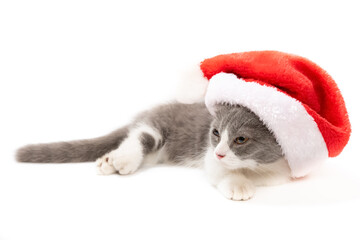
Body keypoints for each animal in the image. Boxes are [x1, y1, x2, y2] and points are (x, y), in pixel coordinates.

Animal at [17, 102, 292, 200]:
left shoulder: (283, 168)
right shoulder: (208, 154)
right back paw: (119, 159)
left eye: (241, 139)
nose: (221, 152)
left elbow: (270, 175)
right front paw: (238, 185)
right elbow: (219, 170)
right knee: (140, 135)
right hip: (160, 129)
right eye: (215, 133)